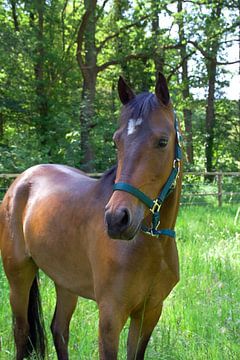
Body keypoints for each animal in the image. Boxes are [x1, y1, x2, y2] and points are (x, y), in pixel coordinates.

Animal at [0, 73, 182, 360]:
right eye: (116, 141)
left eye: (163, 141)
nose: (117, 219)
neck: (151, 244)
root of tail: (21, 181)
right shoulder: (110, 316)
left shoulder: (149, 313)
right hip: (18, 275)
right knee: (21, 332)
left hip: (65, 282)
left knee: (59, 330)